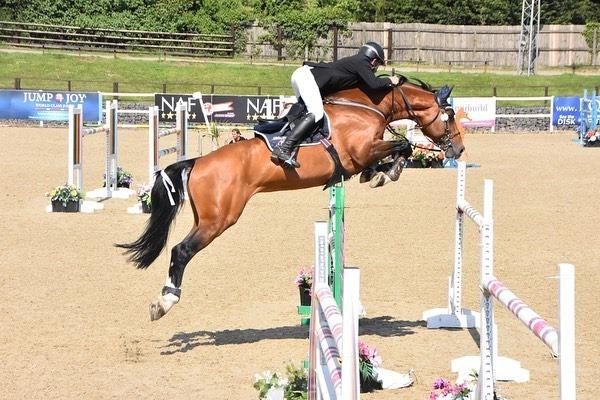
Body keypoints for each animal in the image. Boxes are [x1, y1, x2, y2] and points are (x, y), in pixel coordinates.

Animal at [116, 78, 464, 322]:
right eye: (449, 116)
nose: (459, 150)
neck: (368, 106)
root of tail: (198, 163)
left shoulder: (363, 155)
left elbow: (396, 150)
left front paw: (377, 174)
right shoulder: (361, 150)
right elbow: (401, 145)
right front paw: (385, 173)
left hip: (206, 217)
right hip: (219, 220)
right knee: (181, 251)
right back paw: (164, 301)